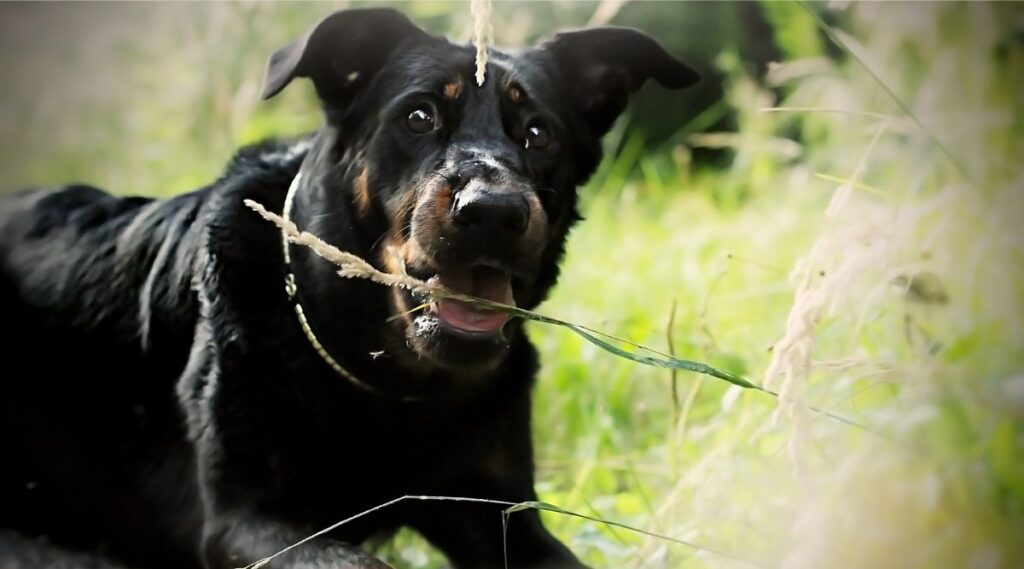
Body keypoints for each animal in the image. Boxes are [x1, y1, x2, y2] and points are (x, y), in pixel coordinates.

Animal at [0, 8, 696, 569]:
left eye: (537, 132)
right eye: (418, 116)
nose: (493, 211)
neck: (387, 381)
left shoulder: (498, 508)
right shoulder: (244, 519)